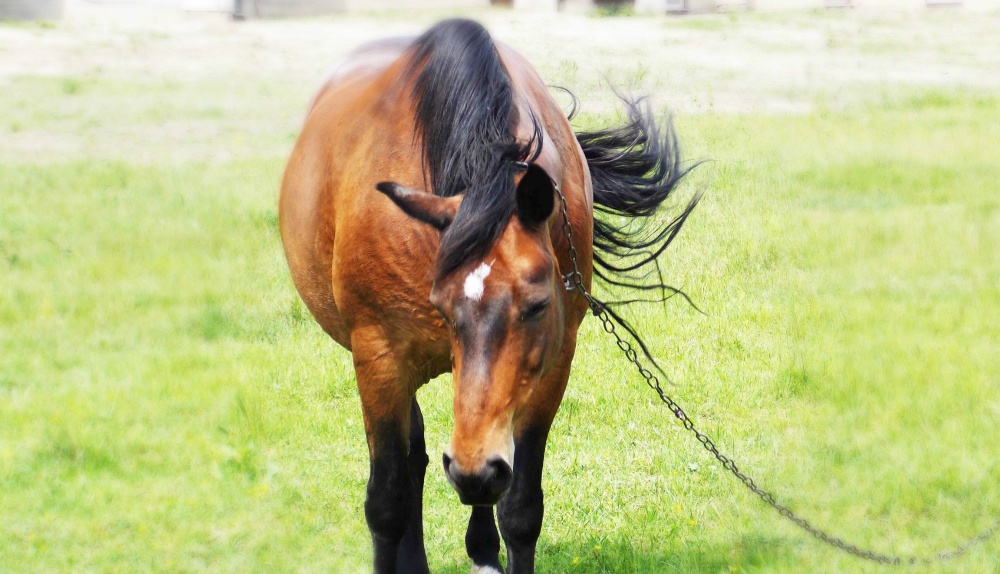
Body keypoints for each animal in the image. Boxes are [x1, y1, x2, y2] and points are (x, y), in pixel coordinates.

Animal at [279, 19, 697, 574]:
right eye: (440, 304)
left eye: (538, 305)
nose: (474, 471)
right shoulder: (379, 357)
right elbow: (386, 500)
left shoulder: (551, 366)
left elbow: (519, 507)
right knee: (415, 461)